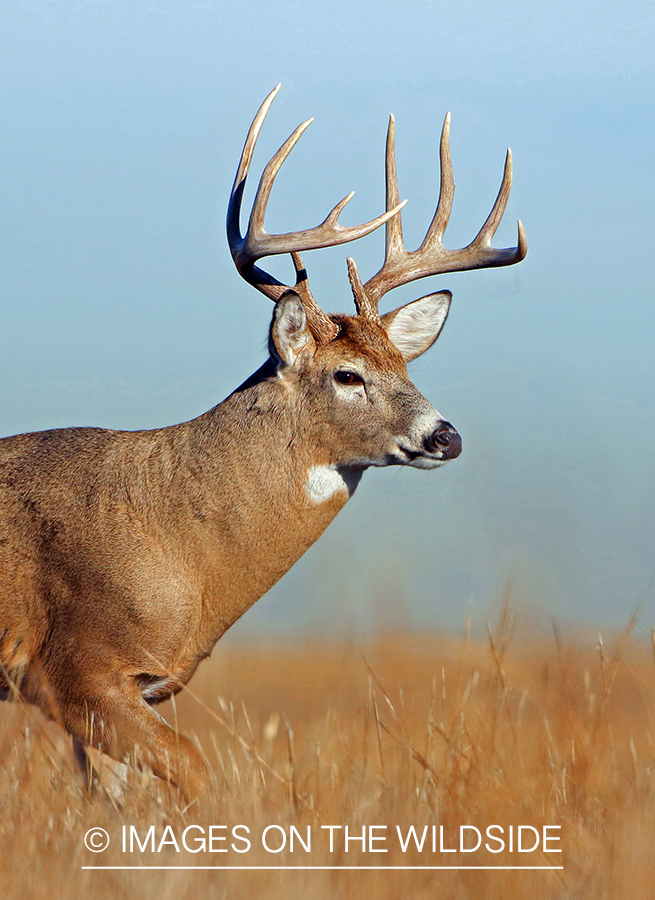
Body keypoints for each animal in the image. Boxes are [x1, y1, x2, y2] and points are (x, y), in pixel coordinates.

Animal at [0, 88, 524, 800]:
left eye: (406, 366)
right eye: (348, 374)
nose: (446, 435)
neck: (180, 545)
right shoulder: (69, 666)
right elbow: (196, 773)